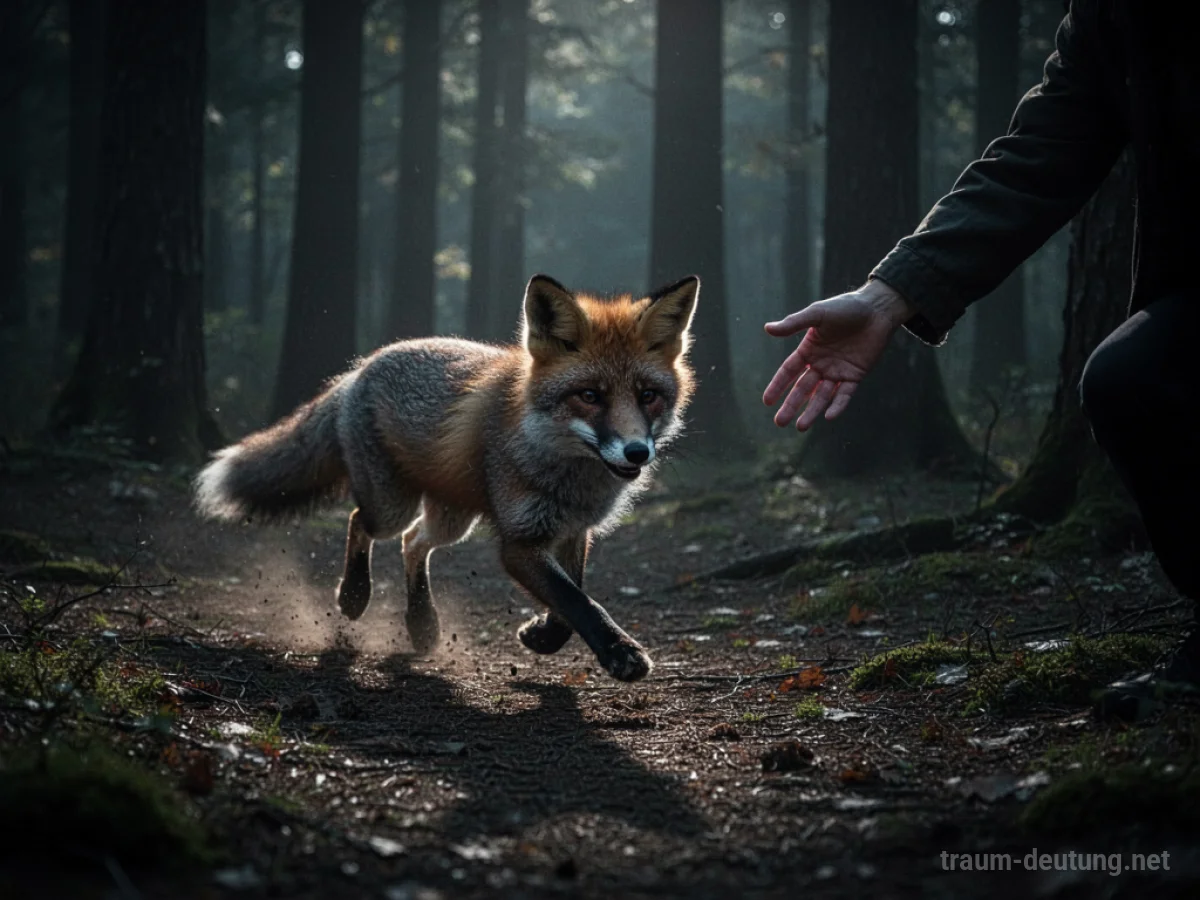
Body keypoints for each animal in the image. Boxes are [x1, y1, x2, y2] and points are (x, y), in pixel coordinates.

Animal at [194, 274, 699, 682]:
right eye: (590, 396)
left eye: (648, 396)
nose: (637, 451)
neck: (568, 475)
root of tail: (360, 368)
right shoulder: (520, 541)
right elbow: (577, 600)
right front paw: (620, 652)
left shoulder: (574, 530)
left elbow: (570, 600)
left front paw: (541, 637)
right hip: (393, 506)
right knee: (363, 522)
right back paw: (355, 595)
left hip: (453, 519)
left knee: (414, 543)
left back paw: (422, 624)